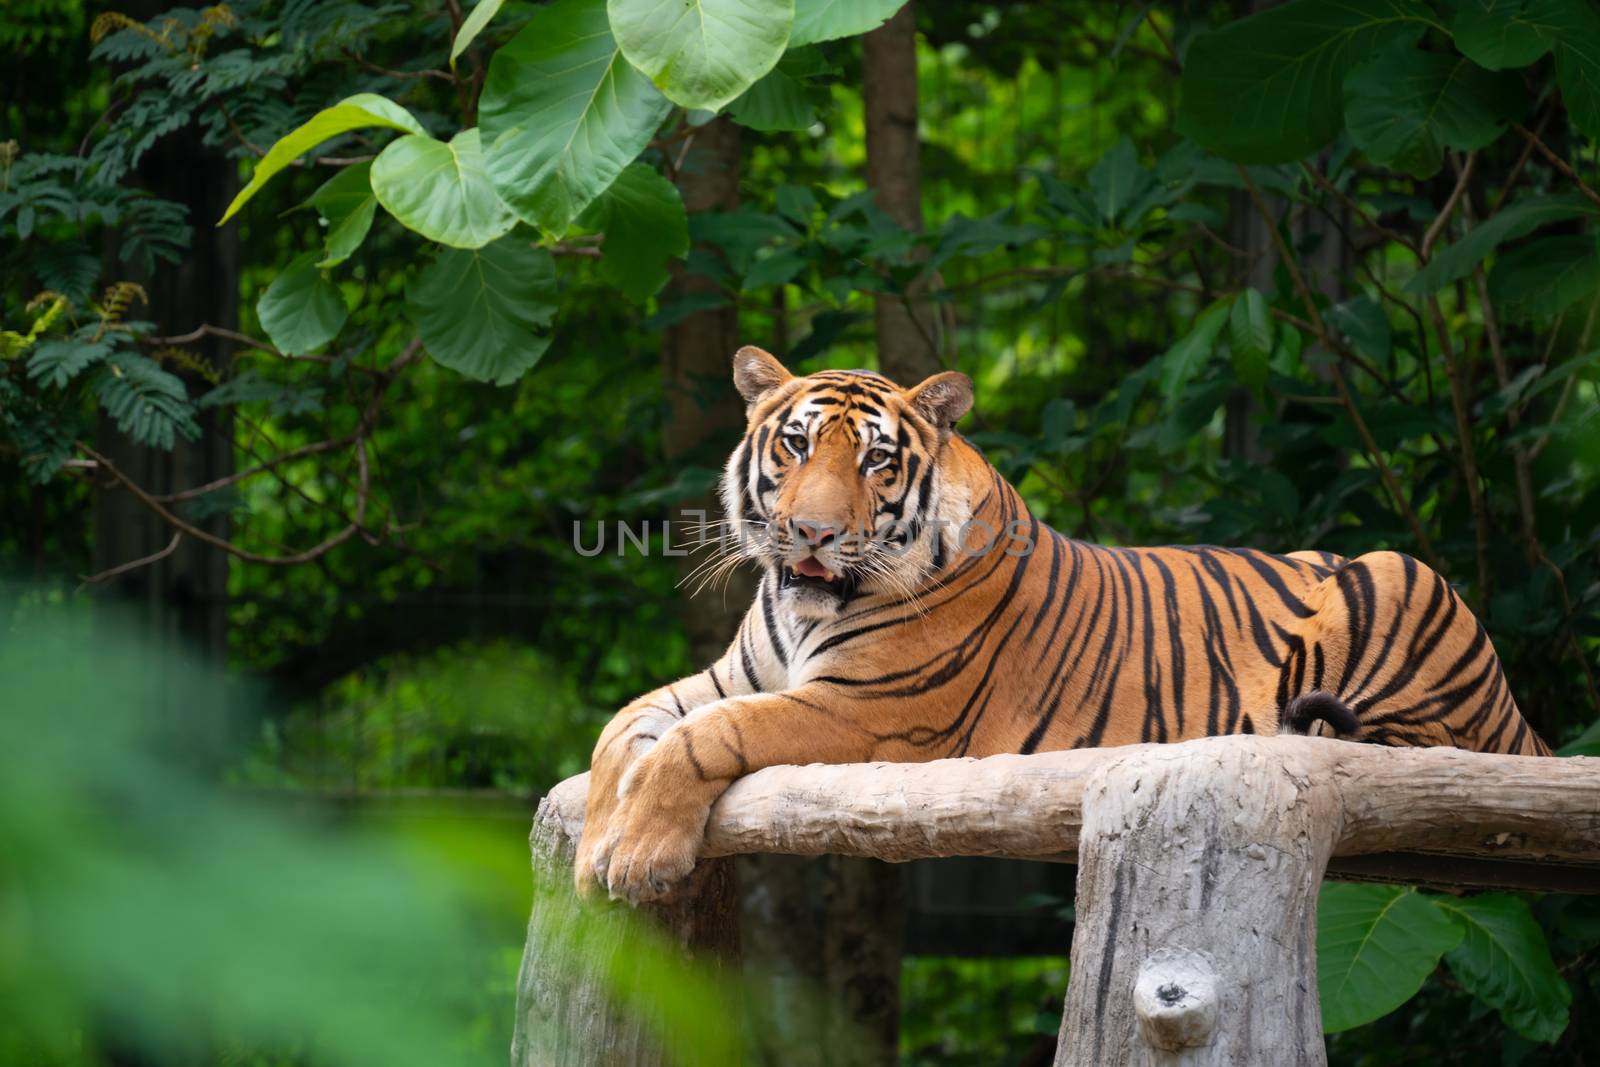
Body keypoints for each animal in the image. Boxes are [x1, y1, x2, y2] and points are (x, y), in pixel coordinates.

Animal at [579, 347, 1548, 908]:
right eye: (795, 446)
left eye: (877, 461)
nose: (812, 533)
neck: (801, 605)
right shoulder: (730, 677)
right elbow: (621, 729)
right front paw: (592, 845)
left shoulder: (867, 710)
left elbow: (708, 737)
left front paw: (638, 853)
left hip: (1399, 575)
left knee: (1432, 751)